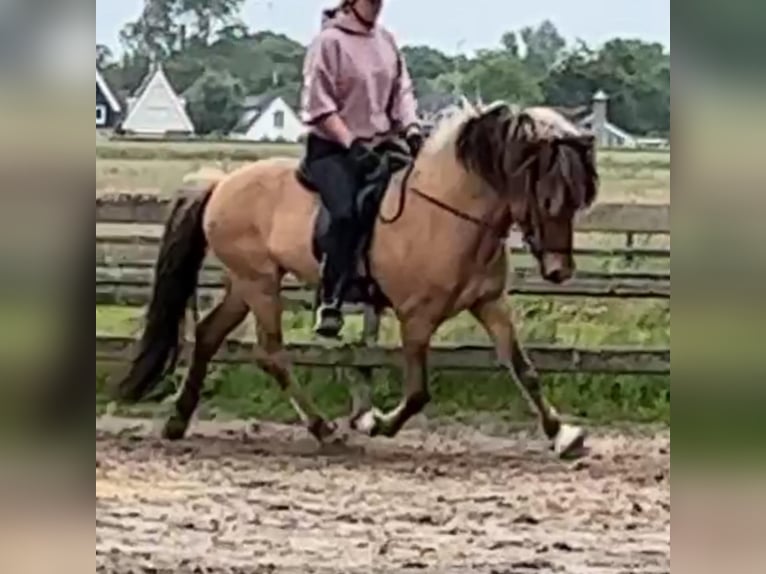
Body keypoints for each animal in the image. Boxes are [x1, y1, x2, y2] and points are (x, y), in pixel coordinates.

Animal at [117, 103, 604, 462]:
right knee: (271, 353)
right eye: (548, 198)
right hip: (259, 283)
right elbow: (417, 393)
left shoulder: (489, 303)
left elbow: (524, 369)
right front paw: (374, 422)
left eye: (578, 200)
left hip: (245, 282)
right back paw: (325, 430)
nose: (559, 270)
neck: (445, 214)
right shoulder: (416, 318)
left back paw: (178, 421)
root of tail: (221, 182)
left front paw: (564, 435)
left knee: (208, 335)